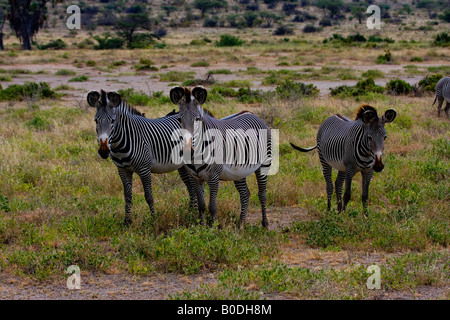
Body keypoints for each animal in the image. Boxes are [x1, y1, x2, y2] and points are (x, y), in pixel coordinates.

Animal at [86, 90, 202, 225]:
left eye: (112, 121)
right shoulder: (122, 170)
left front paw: (154, 220)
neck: (121, 145)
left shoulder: (144, 170)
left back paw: (194, 214)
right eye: (96, 121)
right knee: (190, 186)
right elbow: (127, 197)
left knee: (193, 185)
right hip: (182, 165)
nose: (104, 151)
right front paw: (127, 222)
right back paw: (190, 213)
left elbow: (148, 196)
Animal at [170, 86, 272, 229]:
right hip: (239, 171)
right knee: (245, 194)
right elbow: (201, 206)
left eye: (198, 119)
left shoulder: (213, 177)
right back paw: (240, 225)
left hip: (264, 164)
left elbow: (212, 206)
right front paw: (202, 227)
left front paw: (213, 229)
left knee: (262, 194)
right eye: (179, 120)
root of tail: (252, 114)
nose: (187, 148)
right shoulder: (196, 178)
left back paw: (265, 224)